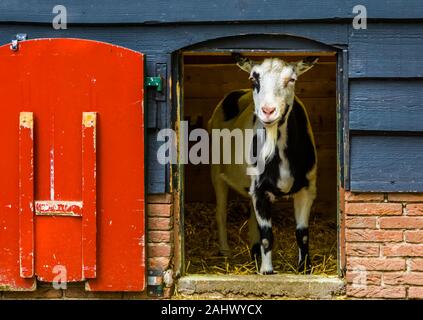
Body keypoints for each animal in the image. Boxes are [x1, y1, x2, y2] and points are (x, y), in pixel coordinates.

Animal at [209, 53, 318, 274]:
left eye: (291, 79)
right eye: (254, 79)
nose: (268, 111)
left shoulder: (307, 187)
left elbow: (302, 234)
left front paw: (305, 269)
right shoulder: (259, 189)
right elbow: (267, 236)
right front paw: (267, 271)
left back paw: (254, 253)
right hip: (217, 174)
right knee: (221, 213)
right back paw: (226, 252)